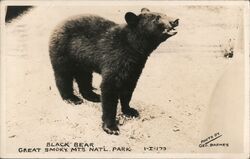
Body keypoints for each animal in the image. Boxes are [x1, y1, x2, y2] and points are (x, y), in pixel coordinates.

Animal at [49, 8, 178, 135]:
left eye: (164, 14)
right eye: (156, 18)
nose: (175, 20)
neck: (133, 46)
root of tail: (58, 25)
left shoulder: (135, 66)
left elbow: (129, 88)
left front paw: (130, 110)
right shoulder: (115, 57)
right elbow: (109, 88)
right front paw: (111, 127)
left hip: (82, 60)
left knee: (84, 76)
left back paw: (93, 96)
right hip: (63, 51)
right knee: (63, 75)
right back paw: (72, 98)